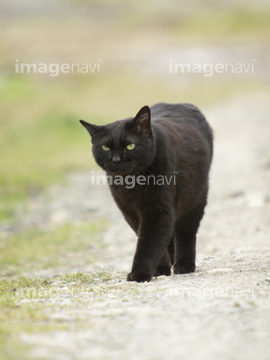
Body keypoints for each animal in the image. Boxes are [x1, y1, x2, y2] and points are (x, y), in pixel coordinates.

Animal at [80, 102, 213, 282]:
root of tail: (180, 104)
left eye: (130, 145)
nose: (116, 160)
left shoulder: (157, 210)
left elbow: (149, 243)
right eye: (106, 147)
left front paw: (139, 273)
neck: (131, 184)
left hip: (195, 198)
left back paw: (184, 265)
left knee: (186, 232)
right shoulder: (130, 212)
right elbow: (152, 241)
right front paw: (160, 269)